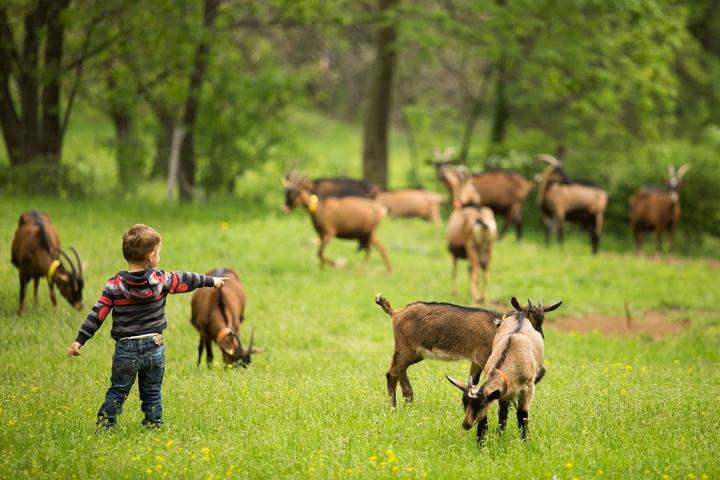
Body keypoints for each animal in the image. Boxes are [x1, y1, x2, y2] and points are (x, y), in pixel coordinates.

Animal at [376, 292, 564, 408]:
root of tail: (396, 313)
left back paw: (409, 402)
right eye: (526, 317)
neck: (497, 326)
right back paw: (392, 407)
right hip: (406, 348)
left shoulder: (475, 360)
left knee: (400, 370)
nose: (538, 338)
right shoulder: (483, 357)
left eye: (542, 320)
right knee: (392, 373)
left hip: (413, 352)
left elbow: (472, 381)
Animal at [444, 302, 544, 444]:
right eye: (464, 402)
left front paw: (525, 442)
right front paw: (489, 440)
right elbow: (500, 416)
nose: (466, 425)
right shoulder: (502, 393)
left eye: (481, 404)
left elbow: (522, 415)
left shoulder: (528, 388)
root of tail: (519, 315)